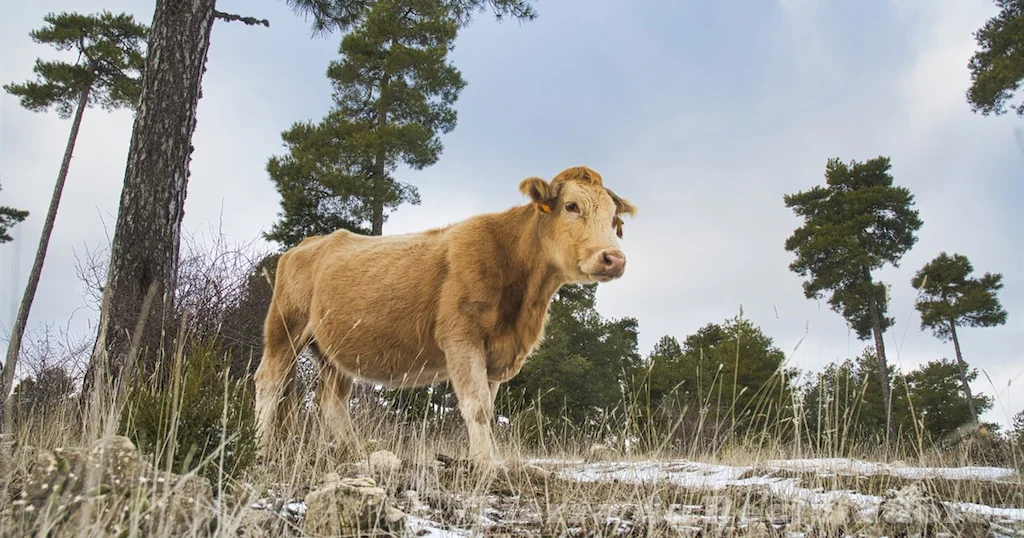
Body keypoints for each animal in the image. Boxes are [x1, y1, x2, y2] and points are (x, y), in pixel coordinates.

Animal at [252, 164, 634, 465]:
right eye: (571, 206)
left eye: (614, 220)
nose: (614, 259)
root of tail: (309, 243)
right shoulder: (461, 338)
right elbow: (477, 406)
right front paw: (486, 465)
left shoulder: (495, 354)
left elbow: (487, 408)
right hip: (285, 328)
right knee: (269, 381)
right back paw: (260, 447)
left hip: (334, 351)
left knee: (331, 400)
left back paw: (355, 454)